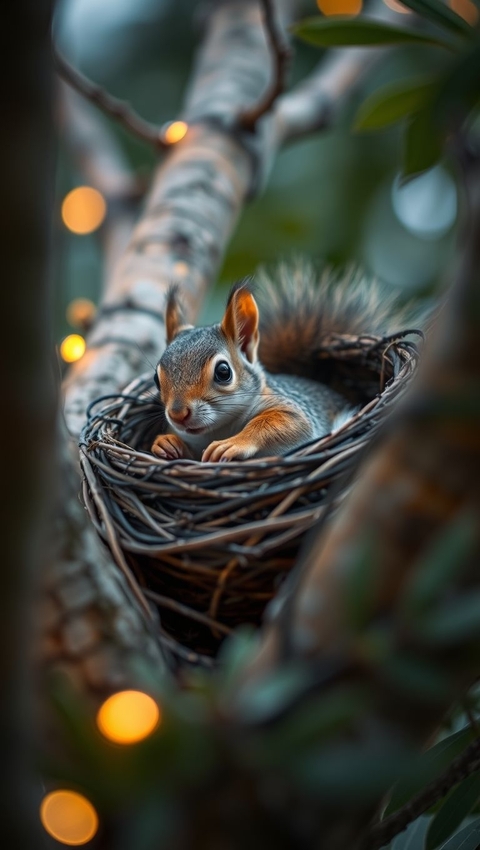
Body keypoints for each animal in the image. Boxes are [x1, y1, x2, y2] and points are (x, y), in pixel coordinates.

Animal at [151, 263, 402, 463]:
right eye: (156, 379)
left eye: (223, 372)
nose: (177, 414)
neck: (217, 430)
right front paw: (166, 442)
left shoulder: (294, 411)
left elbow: (279, 423)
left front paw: (233, 443)